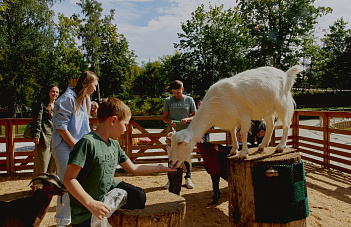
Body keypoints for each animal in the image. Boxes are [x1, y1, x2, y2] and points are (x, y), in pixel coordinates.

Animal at [169, 64, 304, 168]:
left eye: (180, 143)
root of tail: (287, 75)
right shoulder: (230, 120)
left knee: (286, 125)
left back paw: (280, 147)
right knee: (271, 126)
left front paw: (243, 153)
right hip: (267, 110)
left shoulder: (244, 115)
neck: (216, 104)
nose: (171, 162)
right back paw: (262, 146)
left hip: (282, 104)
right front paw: (234, 150)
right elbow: (233, 134)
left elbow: (243, 133)